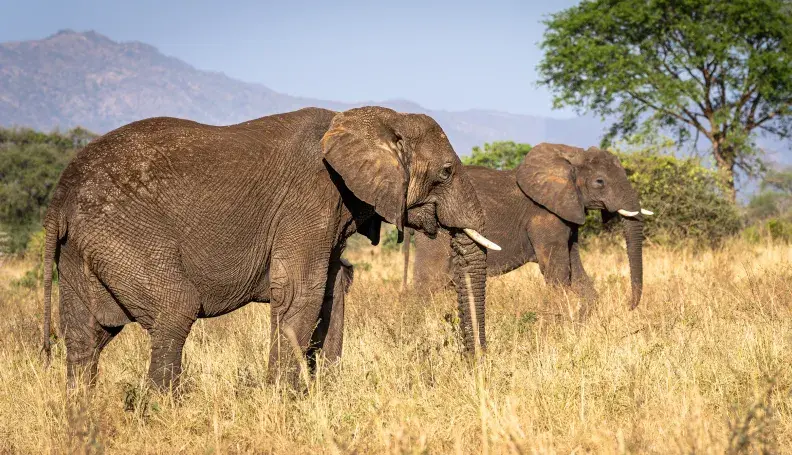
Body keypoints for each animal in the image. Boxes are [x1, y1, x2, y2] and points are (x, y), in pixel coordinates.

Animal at [40, 106, 501, 391]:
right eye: (446, 172)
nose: (475, 370)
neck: (374, 117)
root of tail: (60, 195)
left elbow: (335, 284)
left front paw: (320, 389)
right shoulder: (309, 199)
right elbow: (301, 292)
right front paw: (286, 398)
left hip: (82, 248)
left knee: (87, 336)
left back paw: (82, 414)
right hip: (123, 233)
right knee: (175, 308)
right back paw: (160, 412)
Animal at [408, 143, 650, 310]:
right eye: (600, 182)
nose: (629, 306)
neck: (569, 156)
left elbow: (577, 275)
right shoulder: (544, 217)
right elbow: (557, 275)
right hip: (437, 233)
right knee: (428, 282)